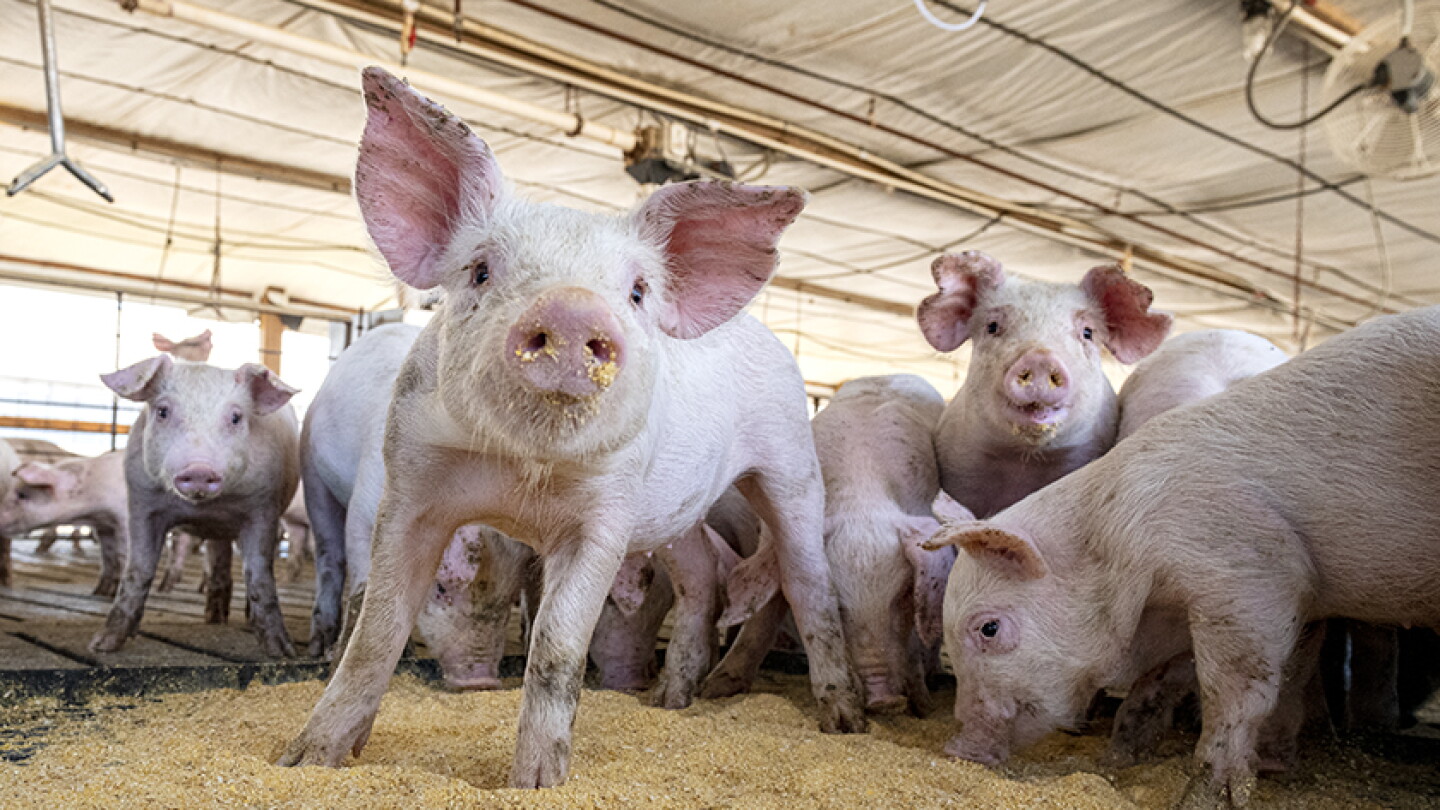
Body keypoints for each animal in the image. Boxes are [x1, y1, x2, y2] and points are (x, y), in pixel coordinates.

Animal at [94, 355, 300, 656]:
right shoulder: (142, 502)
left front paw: (282, 652)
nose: (199, 469)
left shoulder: (263, 509)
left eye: (236, 417)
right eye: (163, 411)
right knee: (217, 558)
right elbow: (137, 570)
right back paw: (213, 619)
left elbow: (259, 575)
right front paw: (102, 645)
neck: (205, 508)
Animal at [303, 322, 537, 689]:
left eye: (509, 594)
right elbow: (364, 585)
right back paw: (319, 647)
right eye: (440, 588)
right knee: (329, 555)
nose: (481, 680)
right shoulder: (366, 505)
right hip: (312, 470)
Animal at [923, 306, 1440, 808]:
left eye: (989, 629)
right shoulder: (1280, 605)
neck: (1121, 544)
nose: (957, 749)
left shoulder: (1249, 574)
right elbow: (1183, 679)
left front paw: (1207, 795)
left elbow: (1235, 688)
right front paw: (1119, 759)